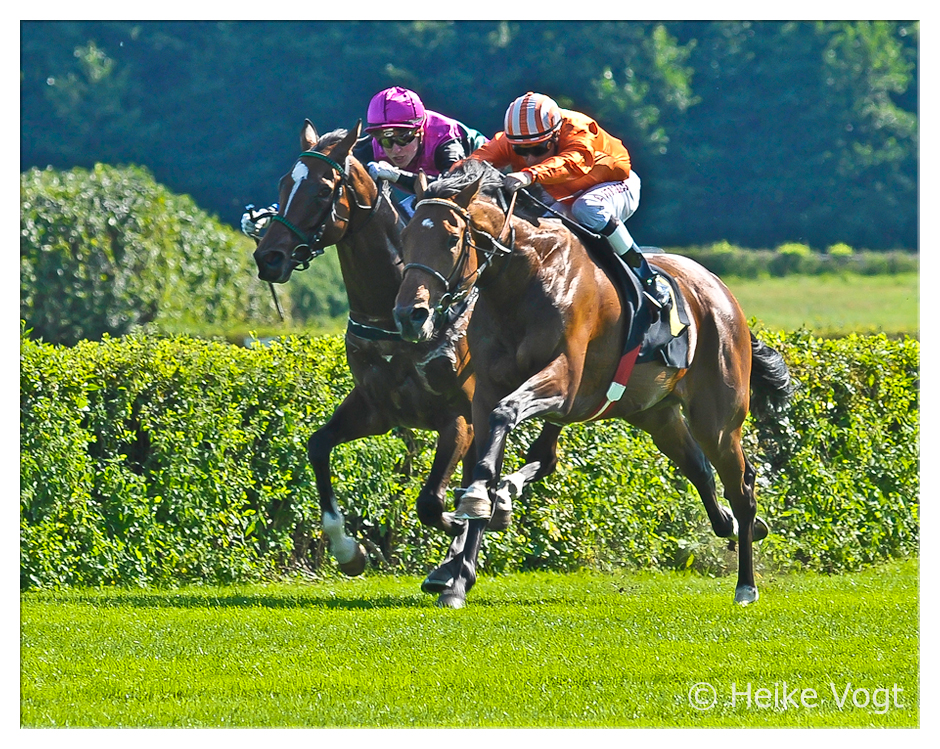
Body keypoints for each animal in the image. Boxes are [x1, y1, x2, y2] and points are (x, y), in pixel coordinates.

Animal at [253, 121, 478, 580]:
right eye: (284, 184)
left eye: (322, 190)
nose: (269, 257)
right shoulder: (377, 409)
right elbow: (318, 445)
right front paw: (348, 550)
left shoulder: (460, 416)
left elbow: (434, 502)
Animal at [392, 159, 796, 608]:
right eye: (405, 238)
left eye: (450, 239)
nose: (410, 314)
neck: (522, 278)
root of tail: (722, 293)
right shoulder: (486, 393)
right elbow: (488, 460)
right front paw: (459, 574)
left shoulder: (563, 382)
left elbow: (506, 415)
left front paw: (480, 505)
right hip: (656, 414)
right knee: (699, 469)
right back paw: (735, 526)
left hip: (718, 418)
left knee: (741, 486)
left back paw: (746, 583)